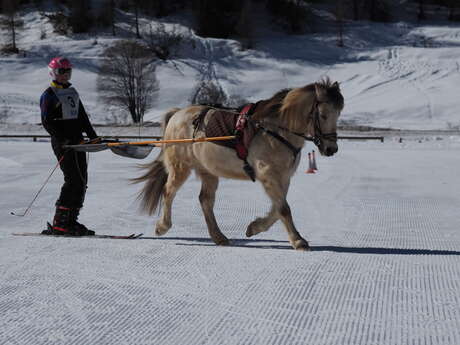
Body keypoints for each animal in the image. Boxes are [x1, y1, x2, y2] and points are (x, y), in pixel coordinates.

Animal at [135, 78, 344, 250]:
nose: (331, 148)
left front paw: (254, 227)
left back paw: (219, 236)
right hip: (181, 167)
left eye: (338, 114)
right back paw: (163, 226)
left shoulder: (283, 177)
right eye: (323, 115)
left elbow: (277, 208)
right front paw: (298, 240)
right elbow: (284, 209)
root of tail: (177, 114)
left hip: (208, 171)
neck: (274, 130)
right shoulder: (268, 174)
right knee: (168, 192)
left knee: (205, 200)